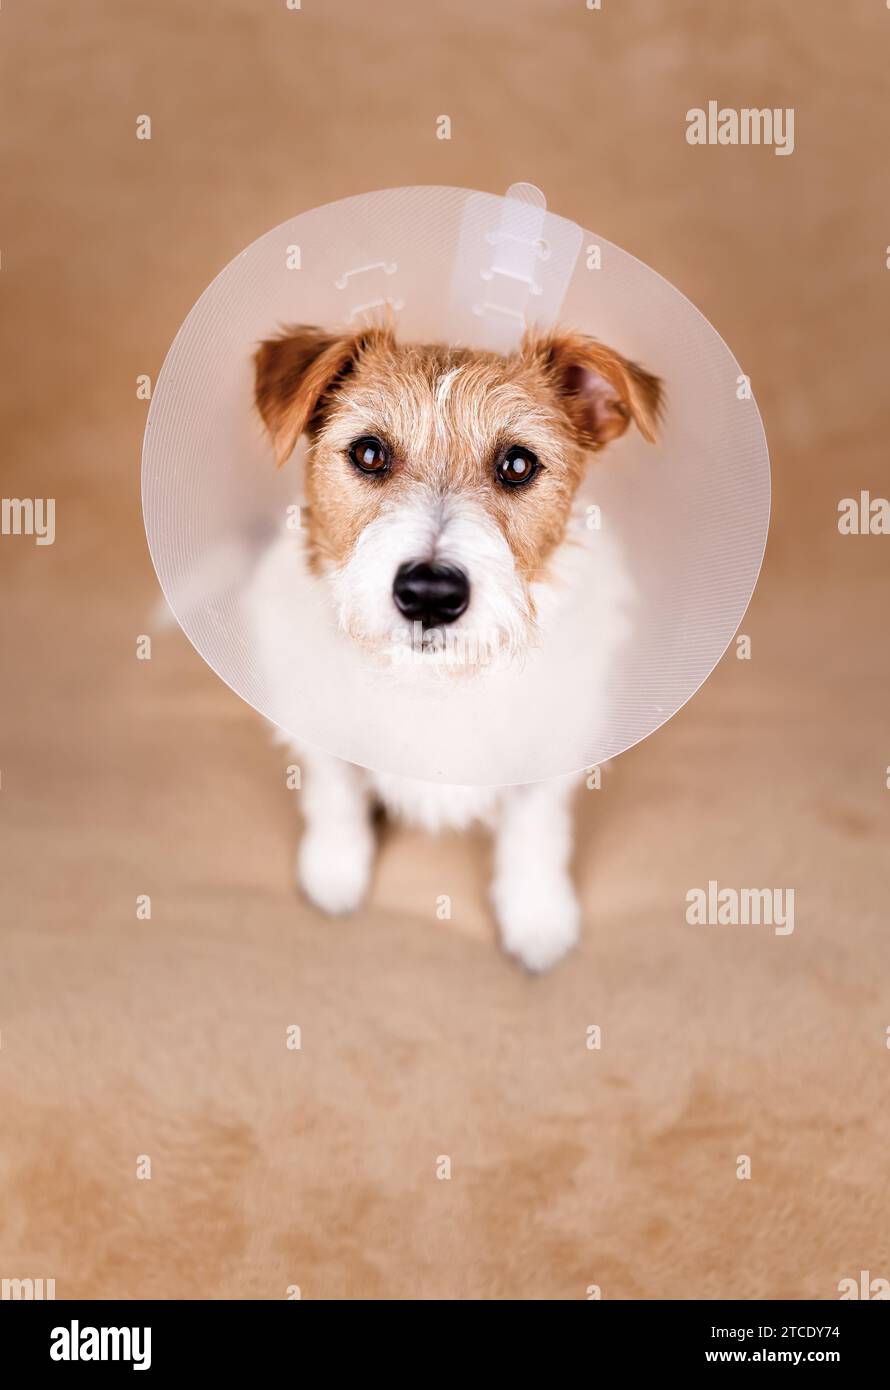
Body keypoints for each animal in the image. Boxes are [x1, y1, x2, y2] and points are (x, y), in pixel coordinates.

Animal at [244, 322, 661, 978]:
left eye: (518, 464)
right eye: (369, 453)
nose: (430, 594)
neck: (436, 679)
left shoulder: (549, 750)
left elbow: (535, 833)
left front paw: (537, 918)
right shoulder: (318, 724)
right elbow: (335, 794)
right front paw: (335, 872)